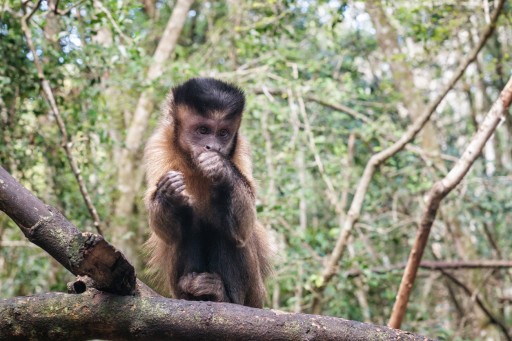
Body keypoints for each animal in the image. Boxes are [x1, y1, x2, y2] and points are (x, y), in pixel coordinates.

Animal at [144, 78, 272, 306]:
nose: (212, 147)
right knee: (187, 223)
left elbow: (245, 226)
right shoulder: (158, 146)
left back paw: (222, 297)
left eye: (223, 134)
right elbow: (166, 233)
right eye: (203, 130)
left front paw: (220, 167)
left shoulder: (241, 147)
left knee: (226, 230)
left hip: (255, 295)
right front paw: (168, 192)